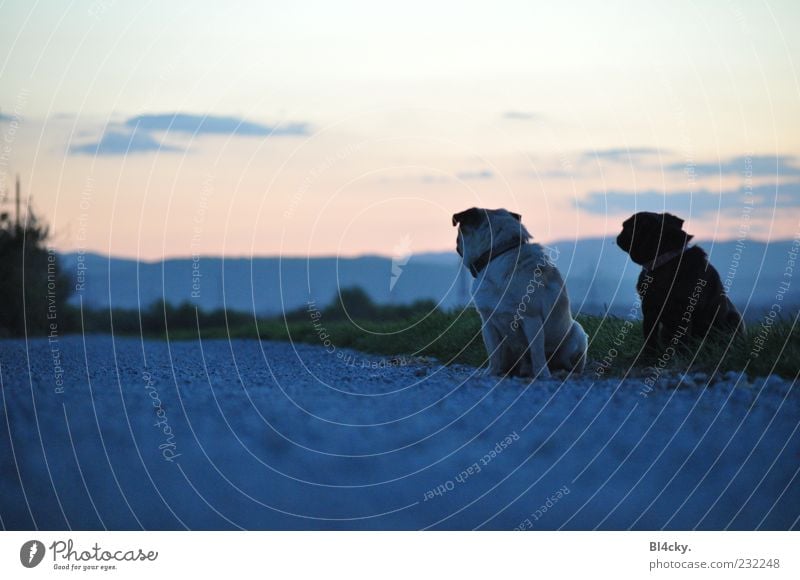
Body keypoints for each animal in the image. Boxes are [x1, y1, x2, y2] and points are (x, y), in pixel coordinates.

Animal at [456, 208, 588, 380]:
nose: (456, 243)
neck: (498, 253)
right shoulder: (487, 322)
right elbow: (493, 353)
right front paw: (490, 372)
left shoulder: (532, 320)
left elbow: (537, 353)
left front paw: (542, 375)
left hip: (577, 333)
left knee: (568, 365)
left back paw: (558, 372)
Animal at [620, 211, 744, 352]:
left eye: (628, 227)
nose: (621, 230)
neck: (664, 261)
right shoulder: (649, 309)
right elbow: (650, 336)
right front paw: (649, 354)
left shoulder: (683, 311)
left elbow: (681, 339)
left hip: (732, 320)